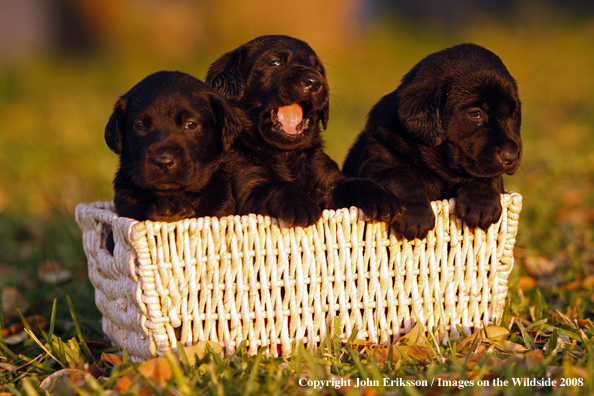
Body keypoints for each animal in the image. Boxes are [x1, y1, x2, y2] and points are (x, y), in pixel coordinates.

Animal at [204, 34, 402, 226]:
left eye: (319, 69)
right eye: (275, 63)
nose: (314, 82)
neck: (285, 156)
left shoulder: (329, 183)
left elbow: (356, 183)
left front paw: (382, 198)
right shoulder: (248, 190)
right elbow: (279, 186)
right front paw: (301, 205)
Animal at [340, 44, 520, 240]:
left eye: (513, 114)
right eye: (475, 113)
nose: (511, 156)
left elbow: (486, 174)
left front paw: (481, 203)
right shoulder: (377, 162)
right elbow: (401, 175)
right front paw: (415, 216)